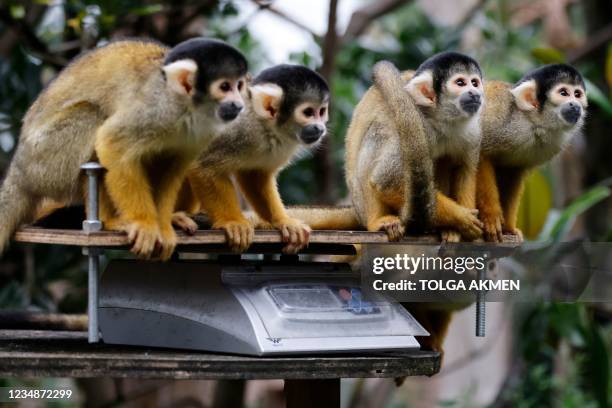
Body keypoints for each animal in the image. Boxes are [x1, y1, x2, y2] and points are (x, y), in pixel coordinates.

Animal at [0, 39, 249, 260]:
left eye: (239, 86)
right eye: (225, 87)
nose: (239, 105)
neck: (187, 107)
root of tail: (19, 168)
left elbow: (171, 168)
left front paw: (163, 227)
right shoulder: (153, 109)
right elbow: (112, 142)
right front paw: (144, 224)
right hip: (45, 160)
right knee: (93, 116)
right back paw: (108, 221)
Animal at [177, 64, 330, 253]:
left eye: (321, 112)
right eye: (308, 112)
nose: (320, 128)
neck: (264, 125)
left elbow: (255, 176)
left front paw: (283, 221)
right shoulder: (237, 131)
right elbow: (202, 164)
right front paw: (233, 222)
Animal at [478, 64, 588, 242]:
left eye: (577, 94)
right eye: (563, 93)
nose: (575, 105)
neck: (532, 123)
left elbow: (512, 172)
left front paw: (508, 229)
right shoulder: (501, 115)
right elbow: (478, 151)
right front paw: (491, 217)